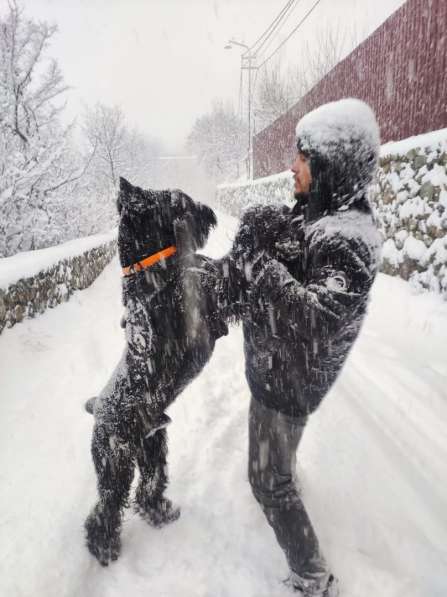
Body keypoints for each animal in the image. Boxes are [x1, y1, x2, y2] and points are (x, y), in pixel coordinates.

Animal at [85, 177, 228, 564]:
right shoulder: (200, 308)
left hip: (152, 449)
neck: (149, 275)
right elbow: (212, 271)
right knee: (105, 507)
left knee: (147, 490)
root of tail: (96, 409)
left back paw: (162, 513)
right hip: (115, 464)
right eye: (177, 200)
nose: (209, 213)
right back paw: (103, 547)